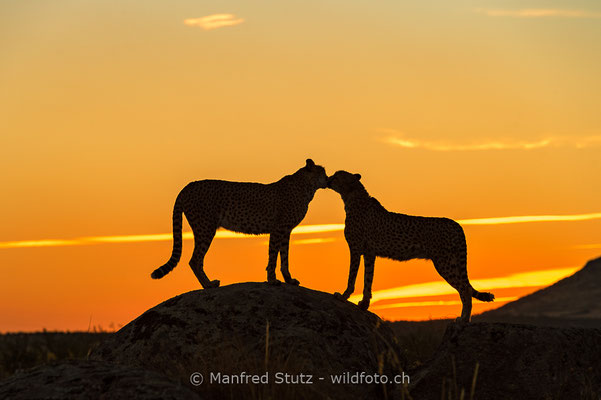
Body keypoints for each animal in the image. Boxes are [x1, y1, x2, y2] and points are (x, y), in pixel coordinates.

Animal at [150, 159, 328, 288]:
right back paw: (208, 285)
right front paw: (272, 280)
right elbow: (273, 256)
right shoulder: (278, 229)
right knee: (195, 260)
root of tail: (189, 185)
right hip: (206, 228)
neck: (306, 186)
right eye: (323, 172)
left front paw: (289, 280)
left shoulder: (286, 231)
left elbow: (284, 257)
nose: (328, 179)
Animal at [328, 170, 492, 324]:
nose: (328, 179)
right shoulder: (369, 253)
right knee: (466, 287)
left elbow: (352, 276)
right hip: (452, 261)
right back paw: (465, 318)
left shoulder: (355, 249)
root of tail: (456, 224)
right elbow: (368, 279)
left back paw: (464, 319)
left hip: (444, 263)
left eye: (337, 176)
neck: (353, 197)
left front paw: (343, 296)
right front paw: (364, 304)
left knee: (465, 289)